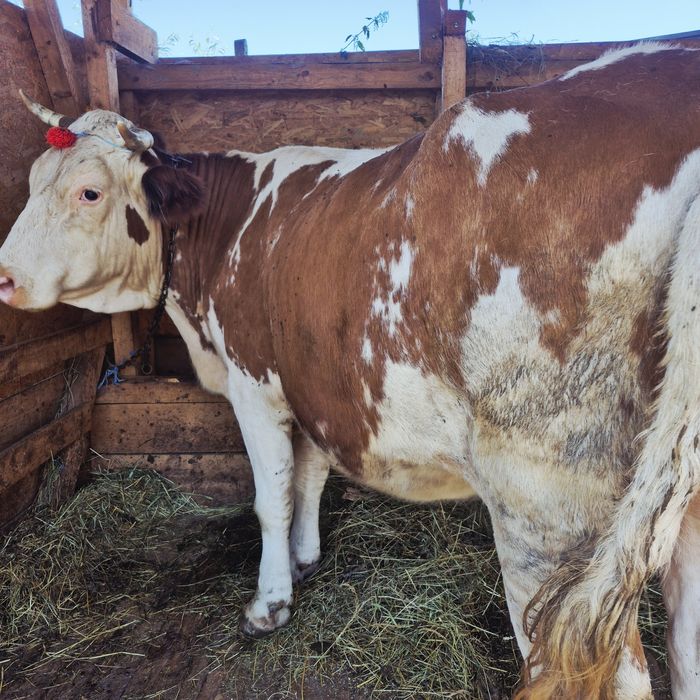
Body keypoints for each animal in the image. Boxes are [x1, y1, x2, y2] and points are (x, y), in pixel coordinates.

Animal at [1, 42, 700, 698]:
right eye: (32, 181)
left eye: (88, 192)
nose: (4, 276)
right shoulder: (310, 378)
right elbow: (310, 476)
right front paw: (305, 559)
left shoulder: (255, 383)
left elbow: (272, 496)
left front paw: (269, 603)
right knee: (685, 640)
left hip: (548, 504)